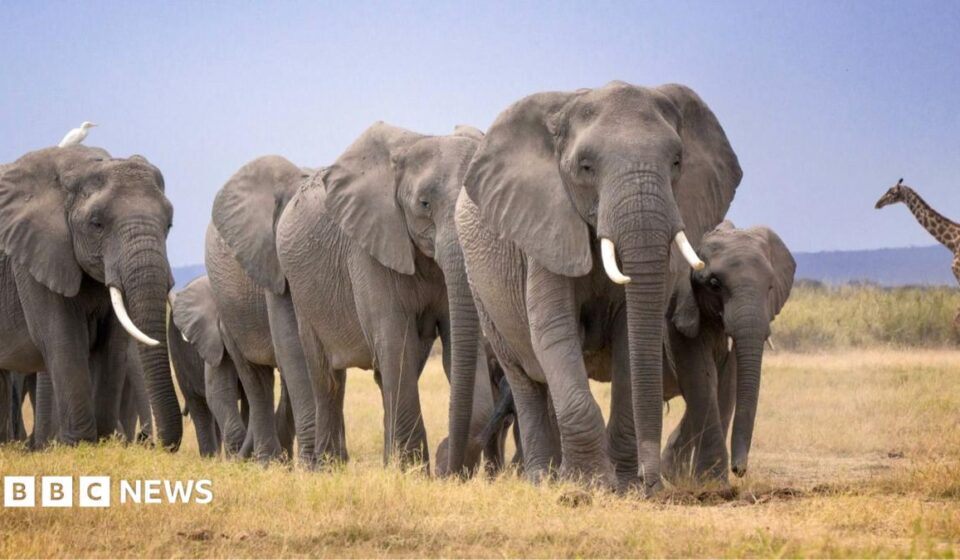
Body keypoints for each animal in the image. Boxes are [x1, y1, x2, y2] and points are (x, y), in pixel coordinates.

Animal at [0, 147, 181, 448]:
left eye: (169, 224)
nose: (150, 442)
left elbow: (113, 347)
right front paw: (81, 445)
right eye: (96, 224)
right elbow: (64, 340)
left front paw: (104, 442)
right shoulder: (34, 259)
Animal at [275, 123, 486, 470]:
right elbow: (393, 341)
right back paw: (328, 468)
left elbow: (458, 342)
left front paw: (415, 468)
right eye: (424, 204)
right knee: (327, 378)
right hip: (302, 290)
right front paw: (413, 472)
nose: (446, 463)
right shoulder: (368, 247)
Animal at [454, 81, 742, 493]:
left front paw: (624, 487)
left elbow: (629, 338)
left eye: (676, 162)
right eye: (585, 167)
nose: (653, 484)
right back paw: (543, 480)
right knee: (525, 379)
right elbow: (554, 331)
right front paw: (588, 486)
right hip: (482, 292)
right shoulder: (546, 227)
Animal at [663, 221, 795, 480]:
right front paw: (712, 481)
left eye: (770, 287)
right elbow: (701, 377)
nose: (739, 469)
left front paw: (703, 480)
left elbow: (727, 381)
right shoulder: (680, 313)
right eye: (714, 284)